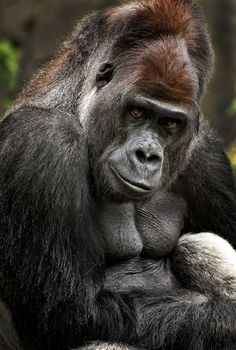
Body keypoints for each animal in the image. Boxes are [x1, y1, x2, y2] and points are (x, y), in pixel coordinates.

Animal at [0, 0, 236, 350]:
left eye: (170, 123)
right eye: (137, 112)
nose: (148, 156)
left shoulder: (205, 154)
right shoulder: (40, 139)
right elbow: (72, 316)